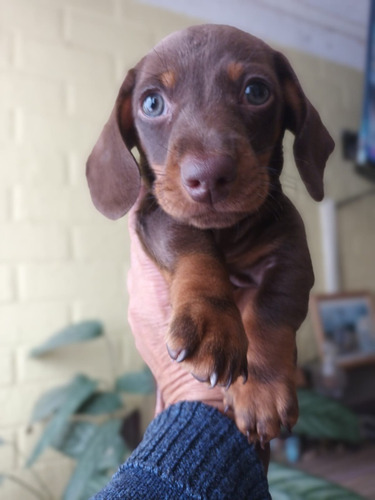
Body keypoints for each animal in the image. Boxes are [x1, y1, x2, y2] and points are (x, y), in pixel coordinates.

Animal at [87, 24, 334, 446]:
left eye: (256, 91)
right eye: (151, 103)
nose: (208, 177)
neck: (225, 233)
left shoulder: (291, 252)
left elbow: (271, 307)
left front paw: (261, 389)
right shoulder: (158, 215)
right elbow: (193, 248)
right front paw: (211, 323)